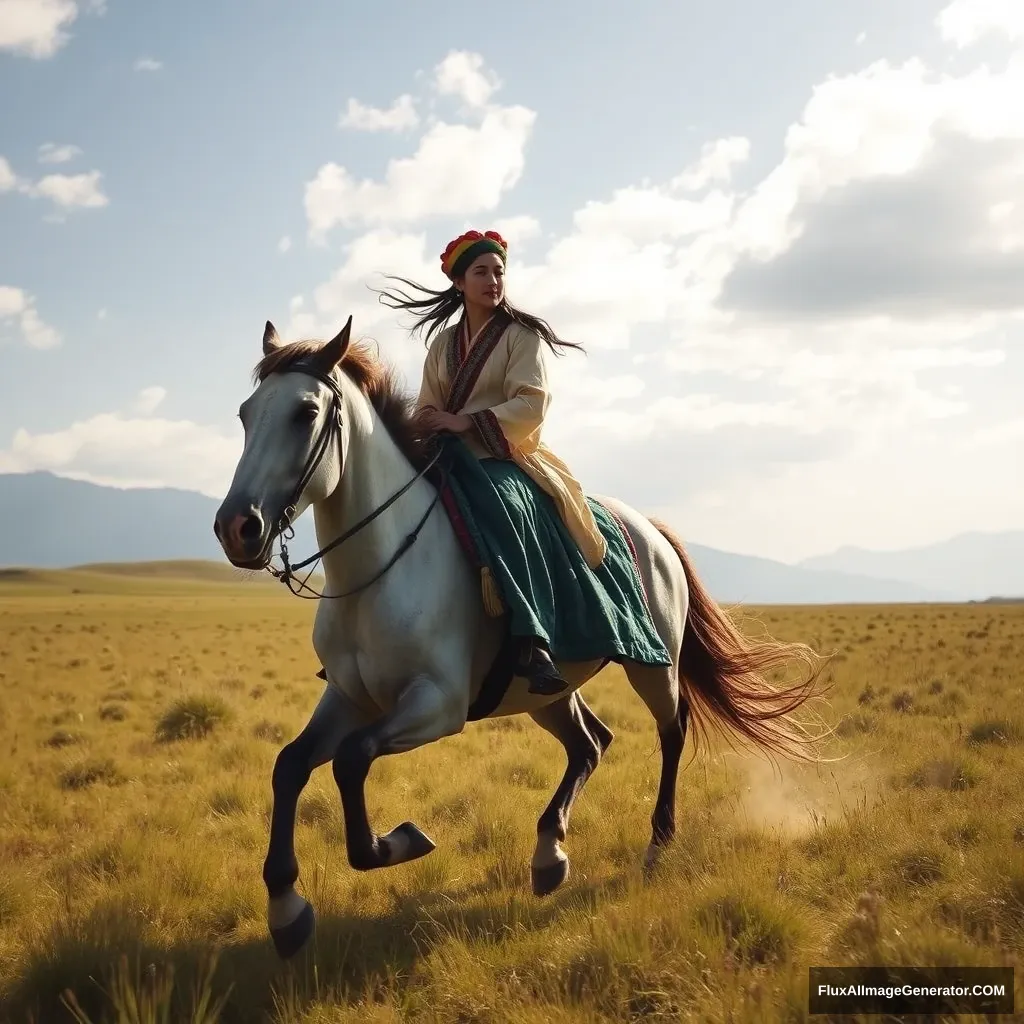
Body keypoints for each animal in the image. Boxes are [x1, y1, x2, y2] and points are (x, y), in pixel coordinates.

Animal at [211, 317, 827, 958]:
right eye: (246, 414)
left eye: (305, 412)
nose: (238, 527)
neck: (380, 567)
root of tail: (651, 530)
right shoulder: (351, 697)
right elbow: (291, 765)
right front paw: (286, 909)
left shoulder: (437, 705)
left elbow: (353, 760)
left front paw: (401, 840)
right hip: (544, 690)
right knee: (591, 743)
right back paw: (549, 854)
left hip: (654, 665)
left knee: (671, 731)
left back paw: (657, 844)